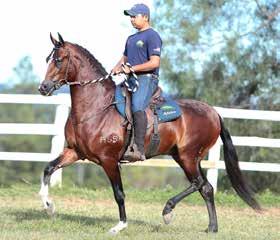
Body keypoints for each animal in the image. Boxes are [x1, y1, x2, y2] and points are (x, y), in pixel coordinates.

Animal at [37, 33, 260, 234]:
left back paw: (168, 211)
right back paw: (212, 227)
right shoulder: (75, 152)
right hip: (186, 157)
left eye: (58, 60)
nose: (43, 87)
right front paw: (49, 206)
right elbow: (48, 169)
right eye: (48, 59)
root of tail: (214, 112)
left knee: (198, 183)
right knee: (206, 188)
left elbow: (119, 194)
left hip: (188, 156)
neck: (98, 107)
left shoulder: (109, 160)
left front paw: (120, 226)